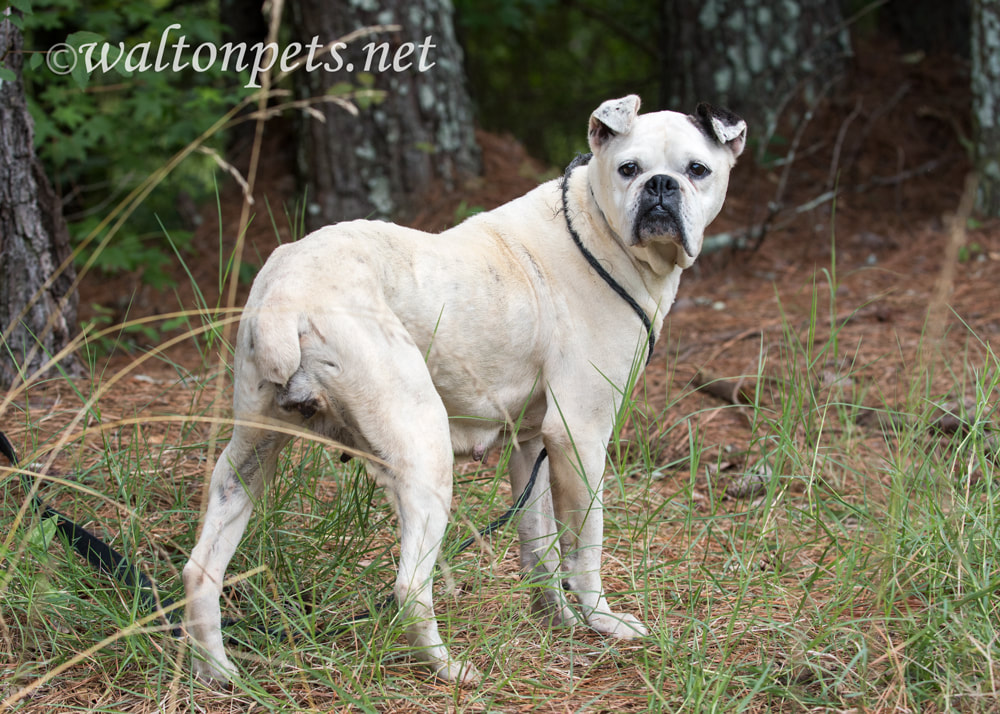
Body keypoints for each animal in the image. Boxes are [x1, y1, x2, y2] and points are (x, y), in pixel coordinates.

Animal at [182, 94, 744, 680]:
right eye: (629, 169)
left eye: (697, 170)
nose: (661, 186)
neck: (597, 232)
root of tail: (287, 296)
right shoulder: (581, 437)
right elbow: (586, 545)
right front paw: (603, 622)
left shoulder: (532, 446)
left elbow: (539, 547)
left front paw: (557, 621)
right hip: (425, 453)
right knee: (409, 587)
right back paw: (450, 672)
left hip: (248, 461)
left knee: (201, 570)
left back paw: (218, 673)